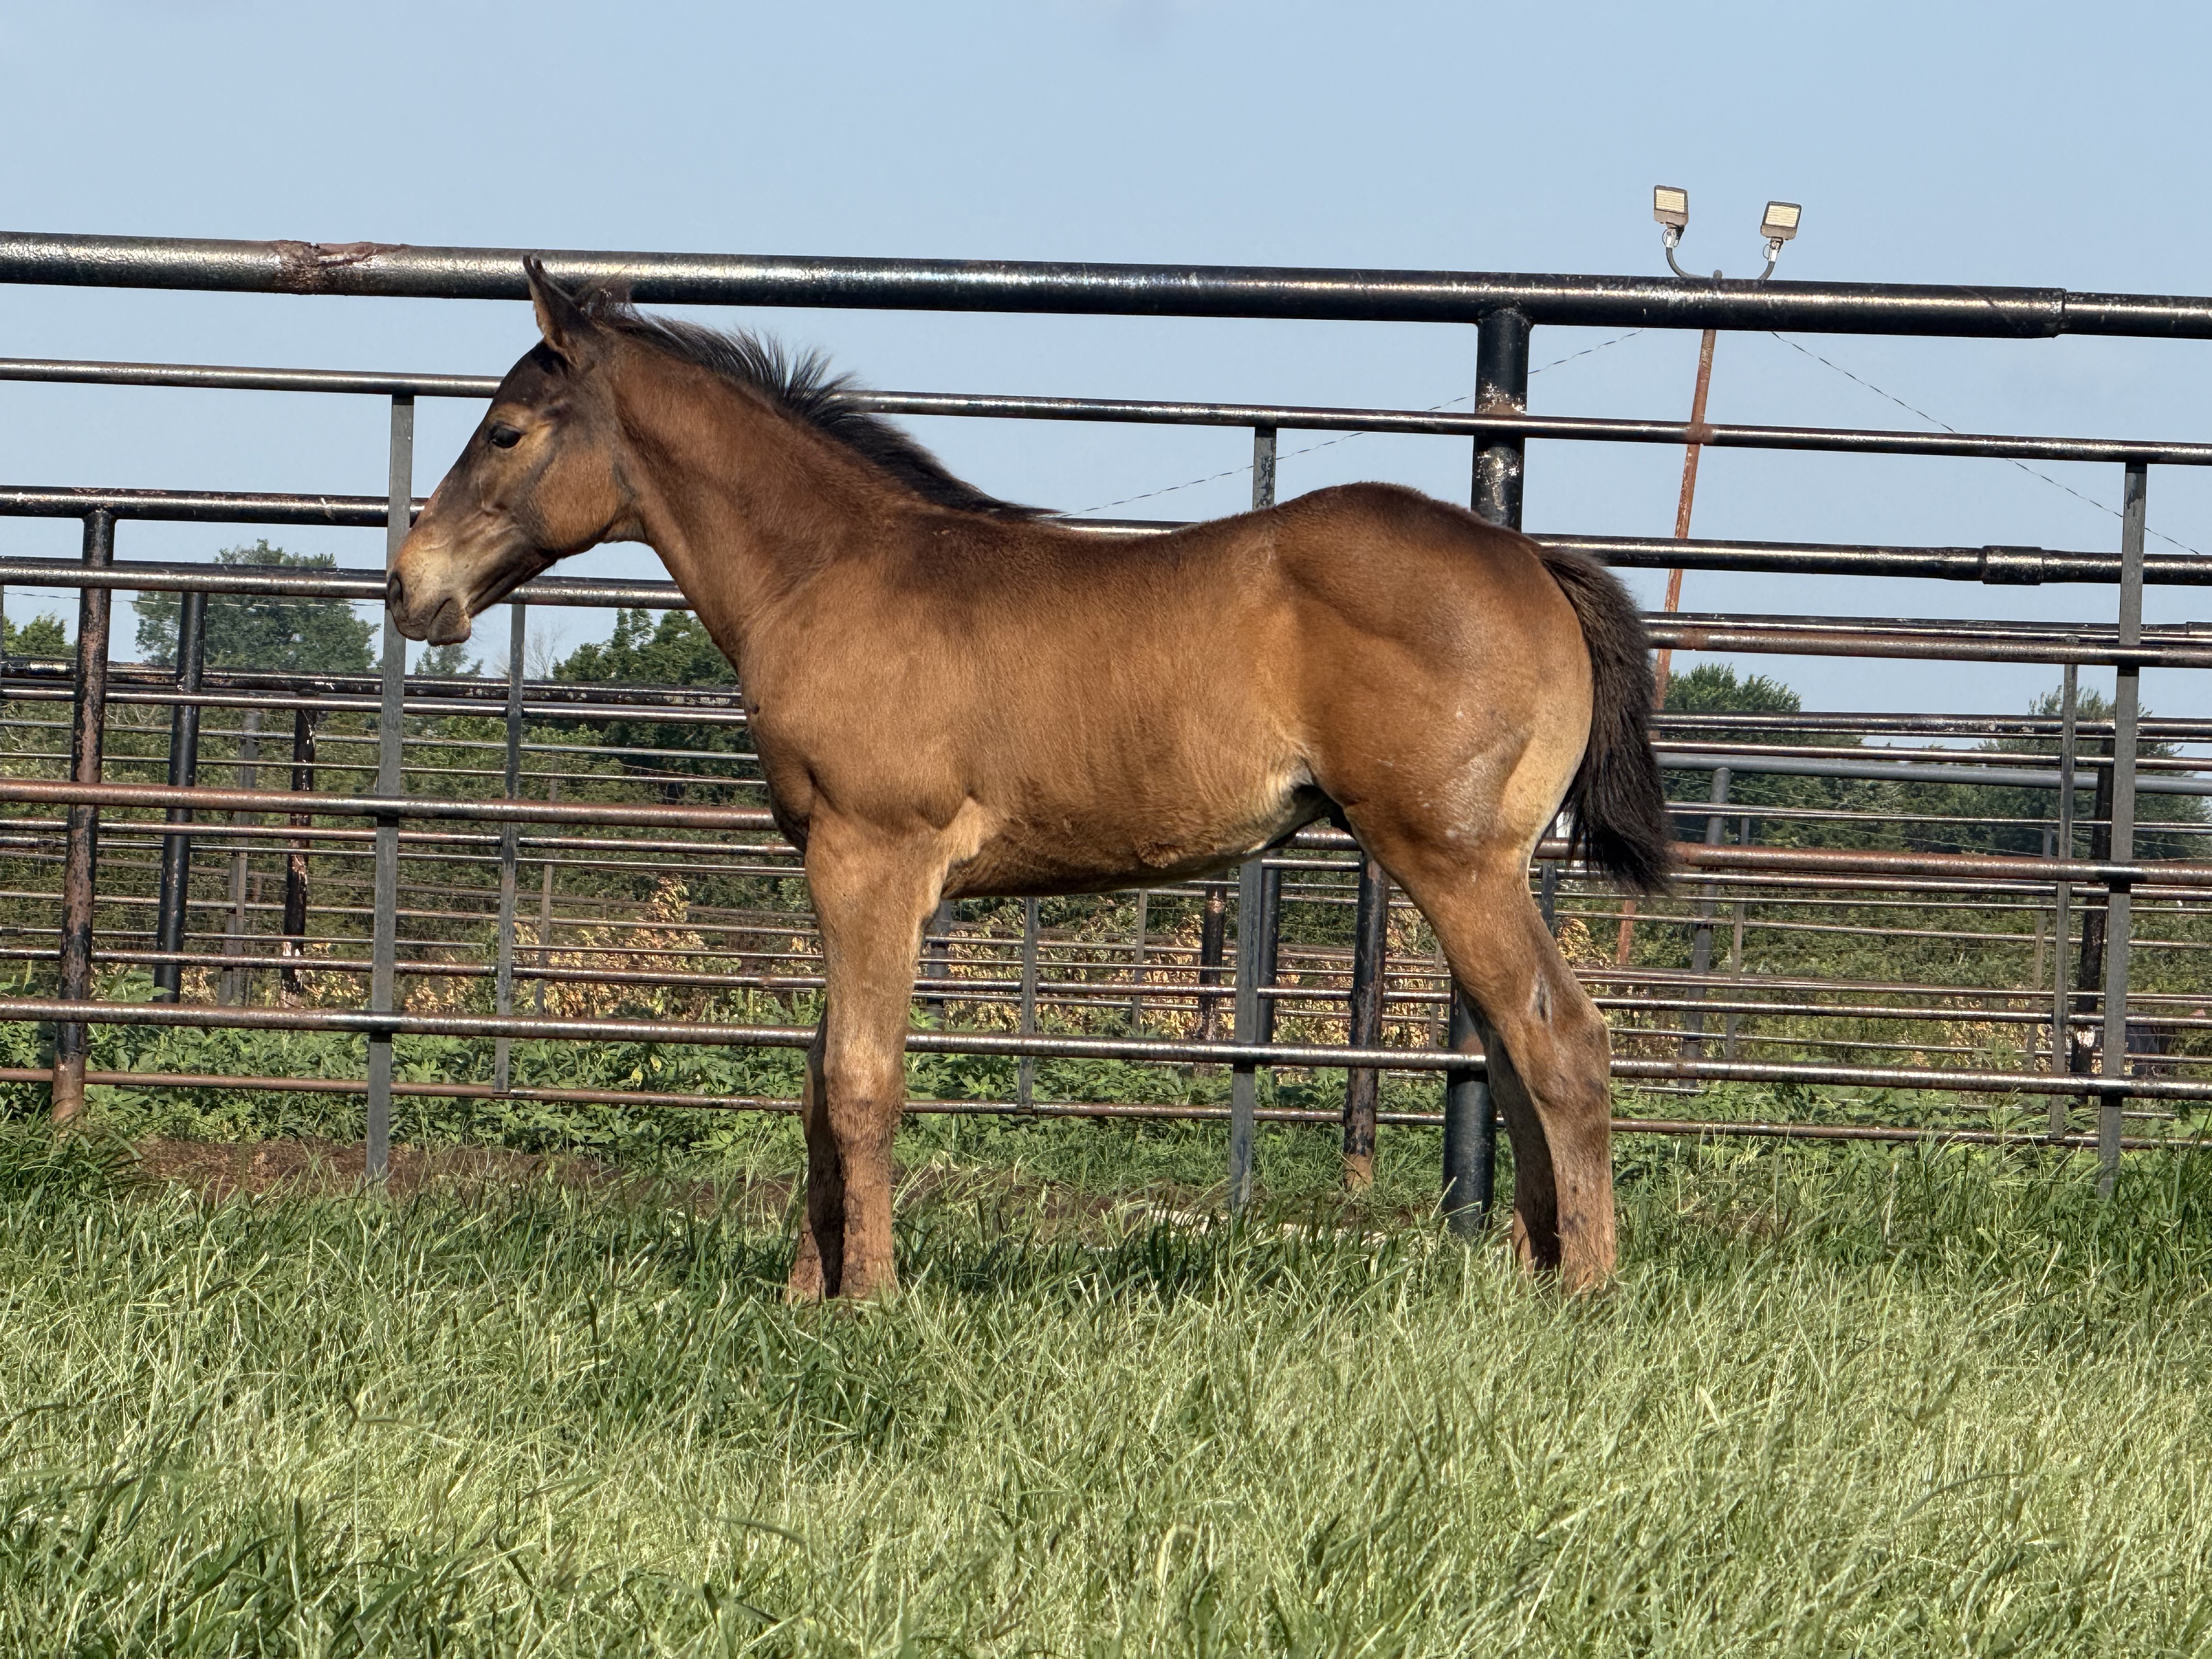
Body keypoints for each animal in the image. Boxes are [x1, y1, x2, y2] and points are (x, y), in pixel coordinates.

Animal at [389, 259, 1672, 1297]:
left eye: (504, 432)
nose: (409, 587)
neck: (830, 570)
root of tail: (1528, 559)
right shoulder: (836, 865)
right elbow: (815, 1081)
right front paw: (805, 1293)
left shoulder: (875, 857)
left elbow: (861, 1080)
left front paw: (872, 1301)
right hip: (1466, 865)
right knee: (1512, 1053)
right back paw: (1529, 1279)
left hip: (1453, 859)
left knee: (1564, 1043)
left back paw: (1585, 1292)